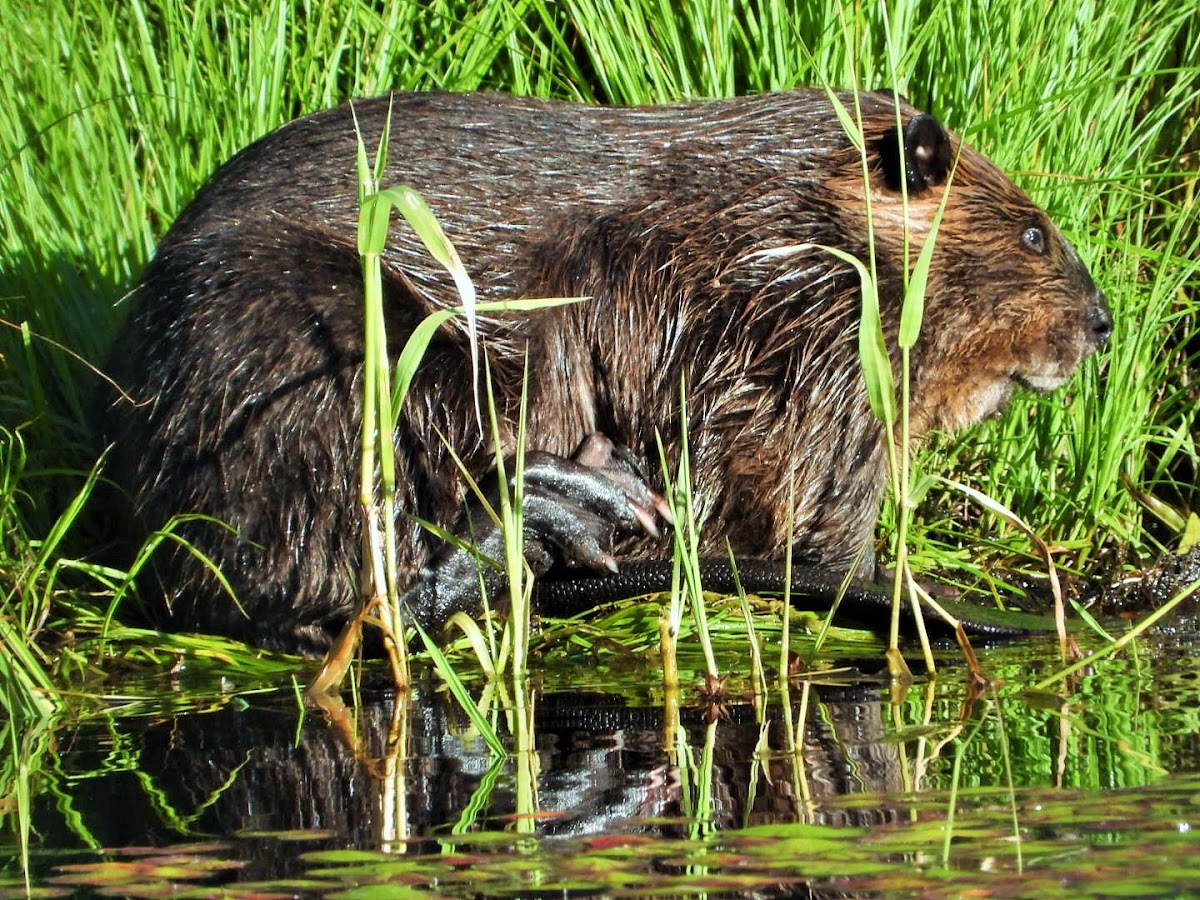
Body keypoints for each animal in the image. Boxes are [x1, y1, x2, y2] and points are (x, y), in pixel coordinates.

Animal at [108, 91, 1108, 657]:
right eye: (1033, 234)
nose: (1100, 323)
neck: (784, 215)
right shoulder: (778, 327)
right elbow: (793, 489)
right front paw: (886, 576)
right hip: (309, 338)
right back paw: (550, 511)